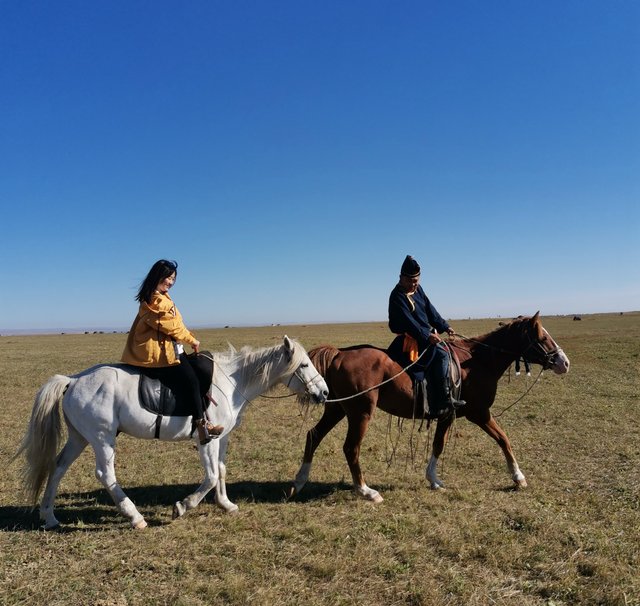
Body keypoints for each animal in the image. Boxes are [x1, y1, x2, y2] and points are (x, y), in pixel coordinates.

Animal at [15, 338, 330, 532]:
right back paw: (135, 517)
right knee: (105, 474)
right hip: (103, 438)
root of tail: (73, 380)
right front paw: (182, 506)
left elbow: (221, 471)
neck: (232, 382)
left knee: (57, 468)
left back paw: (49, 516)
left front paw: (226, 504)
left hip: (80, 437)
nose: (325, 392)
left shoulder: (222, 438)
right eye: (304, 365)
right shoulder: (207, 439)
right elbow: (210, 476)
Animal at [290, 314, 568, 504]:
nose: (564, 362)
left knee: (313, 435)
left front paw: (433, 479)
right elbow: (503, 439)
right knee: (351, 448)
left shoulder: (448, 415)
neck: (476, 362)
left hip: (338, 410)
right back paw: (366, 491)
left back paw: (299, 482)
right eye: (542, 337)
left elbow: (438, 444)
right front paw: (518, 477)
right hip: (360, 413)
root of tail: (339, 354)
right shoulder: (479, 413)